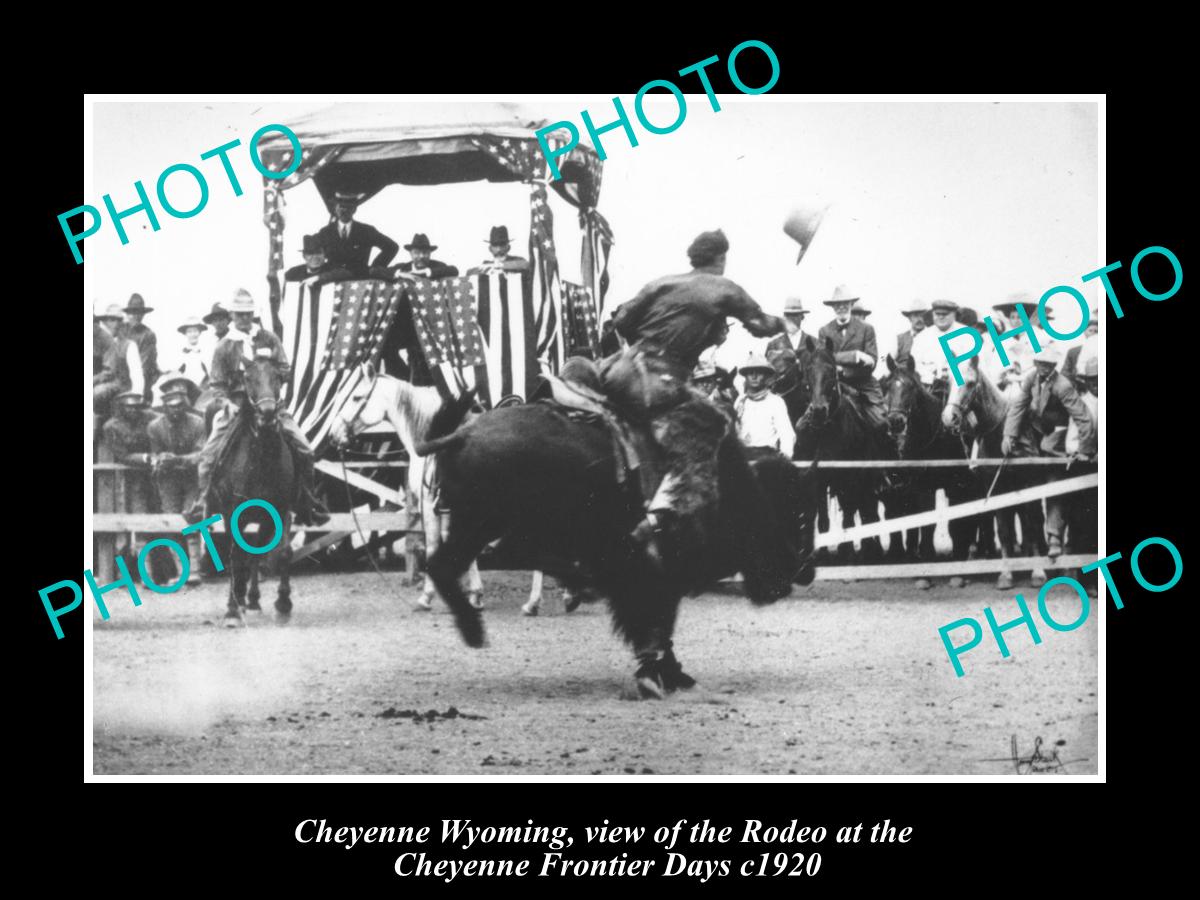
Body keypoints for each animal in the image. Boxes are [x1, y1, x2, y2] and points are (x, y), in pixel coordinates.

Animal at [212, 355, 296, 628]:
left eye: (278, 377)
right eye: (248, 378)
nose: (267, 413)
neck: (262, 462)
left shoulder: (282, 510)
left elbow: (284, 552)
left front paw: (283, 604)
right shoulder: (233, 513)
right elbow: (235, 557)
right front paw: (231, 610)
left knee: (256, 552)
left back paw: (252, 599)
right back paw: (241, 600)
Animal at [328, 362, 561, 619]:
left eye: (356, 397)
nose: (333, 434)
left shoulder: (431, 506)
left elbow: (433, 547)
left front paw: (427, 597)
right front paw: (475, 595)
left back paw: (534, 602)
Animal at [796, 338, 892, 564]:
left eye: (832, 371)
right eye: (808, 369)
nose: (818, 411)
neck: (824, 432)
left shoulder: (849, 479)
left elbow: (849, 518)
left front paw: (846, 552)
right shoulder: (819, 480)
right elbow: (822, 520)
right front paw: (821, 553)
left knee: (867, 513)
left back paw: (870, 549)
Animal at [883, 360, 984, 592]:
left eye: (911, 387)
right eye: (888, 386)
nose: (895, 421)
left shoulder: (956, 485)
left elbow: (955, 522)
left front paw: (957, 572)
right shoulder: (922, 488)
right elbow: (925, 524)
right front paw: (925, 573)